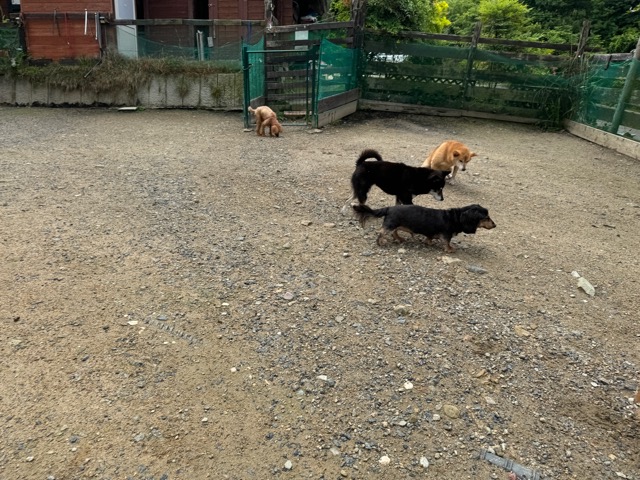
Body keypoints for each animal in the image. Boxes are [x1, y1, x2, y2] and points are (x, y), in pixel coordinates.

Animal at [352, 203, 496, 253]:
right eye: (486, 217)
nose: (495, 225)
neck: (456, 217)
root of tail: (389, 208)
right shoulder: (446, 234)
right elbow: (447, 242)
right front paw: (449, 249)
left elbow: (430, 238)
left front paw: (428, 243)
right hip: (391, 224)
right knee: (382, 231)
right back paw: (380, 242)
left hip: (398, 225)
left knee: (394, 232)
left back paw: (399, 239)